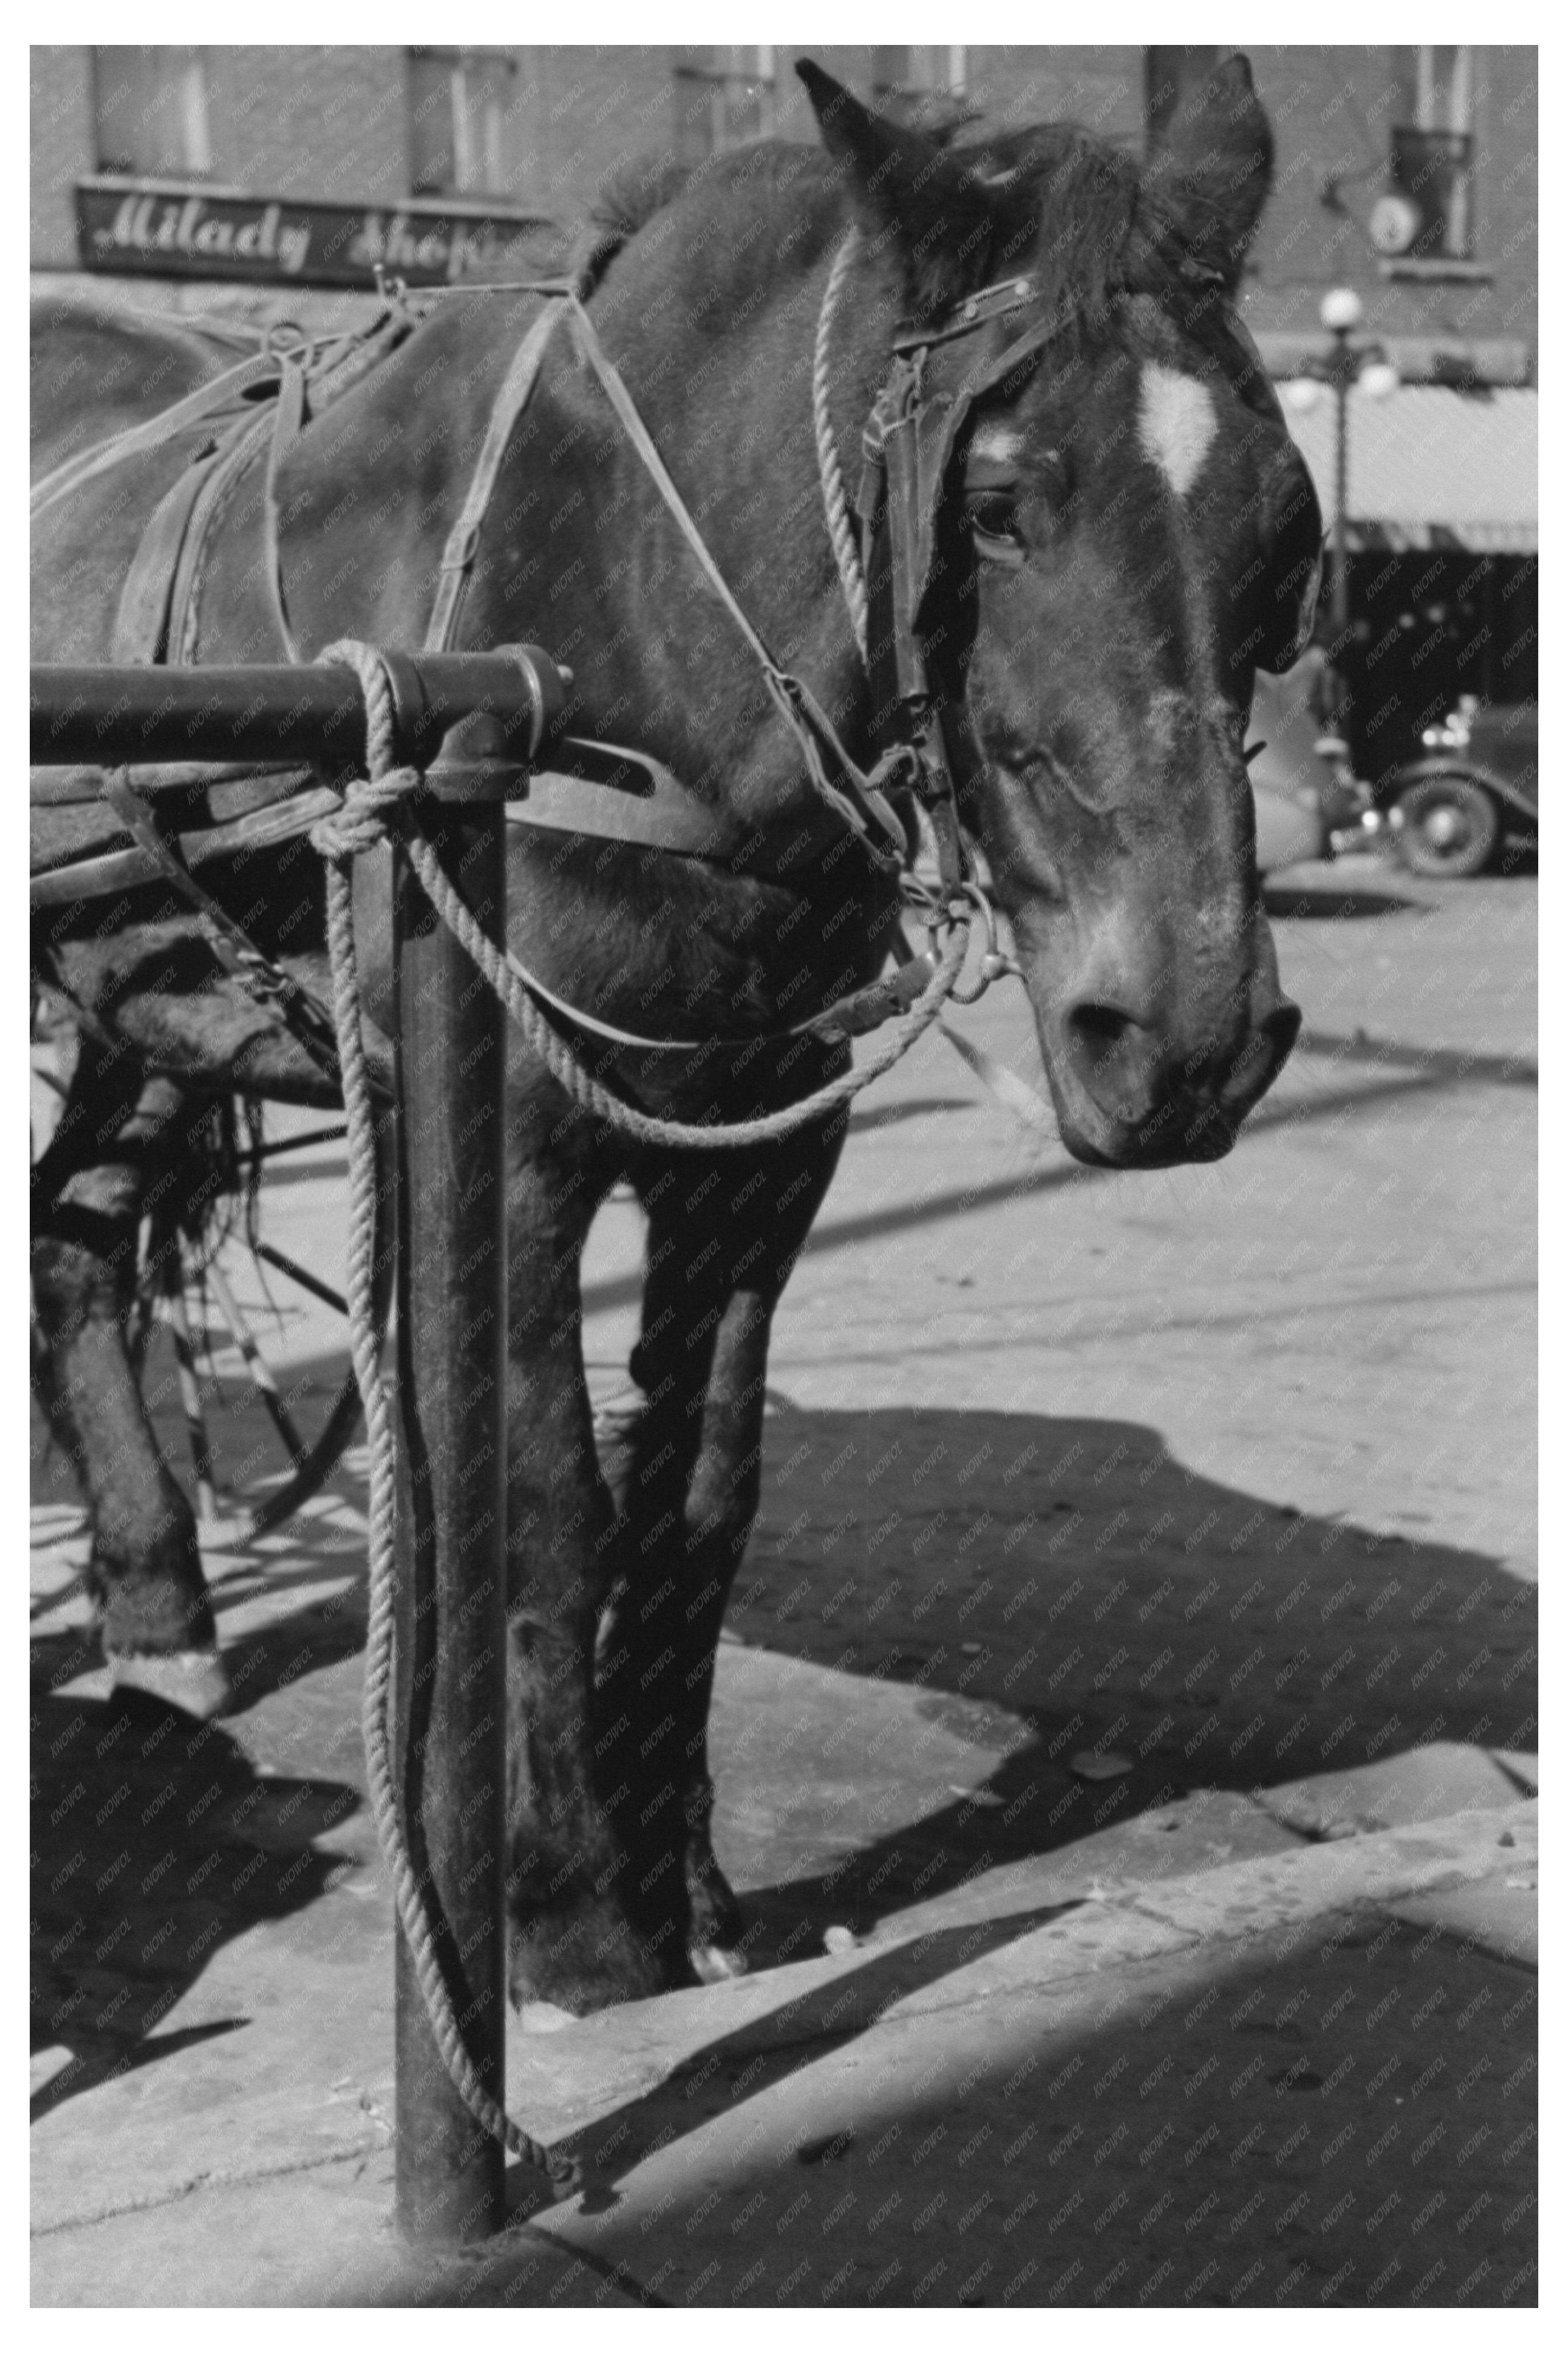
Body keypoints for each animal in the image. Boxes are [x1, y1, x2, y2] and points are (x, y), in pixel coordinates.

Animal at [30, 57, 1320, 2013]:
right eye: (995, 503)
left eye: (1280, 524)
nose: (1181, 1034)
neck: (629, 630)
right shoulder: (505, 1137)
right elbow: (551, 1498)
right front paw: (572, 1911)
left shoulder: (762, 1150)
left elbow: (697, 1502)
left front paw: (689, 1880)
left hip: (153, 989)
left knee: (82, 1241)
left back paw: (158, 1610)